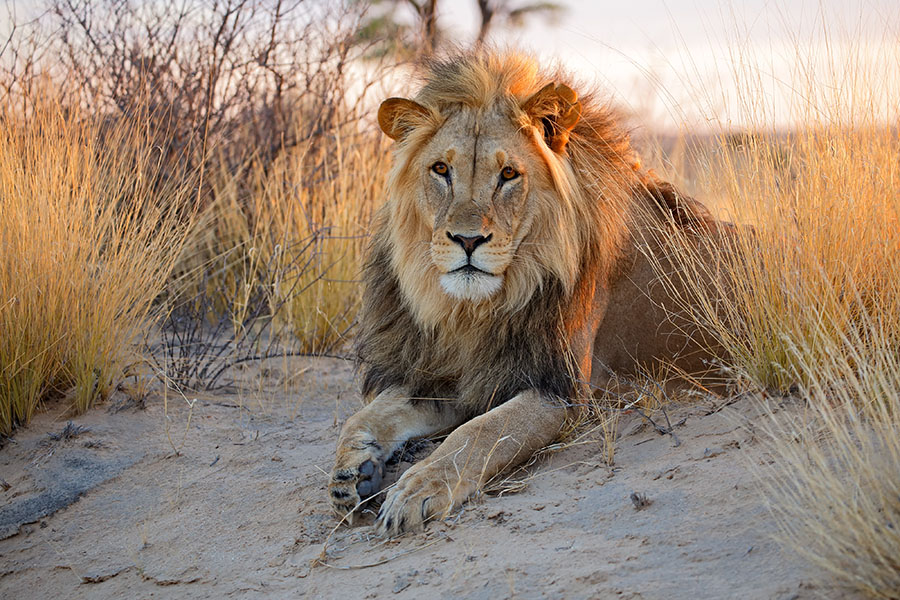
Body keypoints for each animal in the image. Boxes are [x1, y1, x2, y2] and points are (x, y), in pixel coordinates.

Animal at [330, 50, 732, 536]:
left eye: (508, 175)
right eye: (441, 170)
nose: (467, 240)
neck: (475, 311)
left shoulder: (561, 391)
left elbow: (478, 433)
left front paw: (418, 489)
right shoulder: (460, 375)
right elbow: (367, 415)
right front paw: (352, 472)